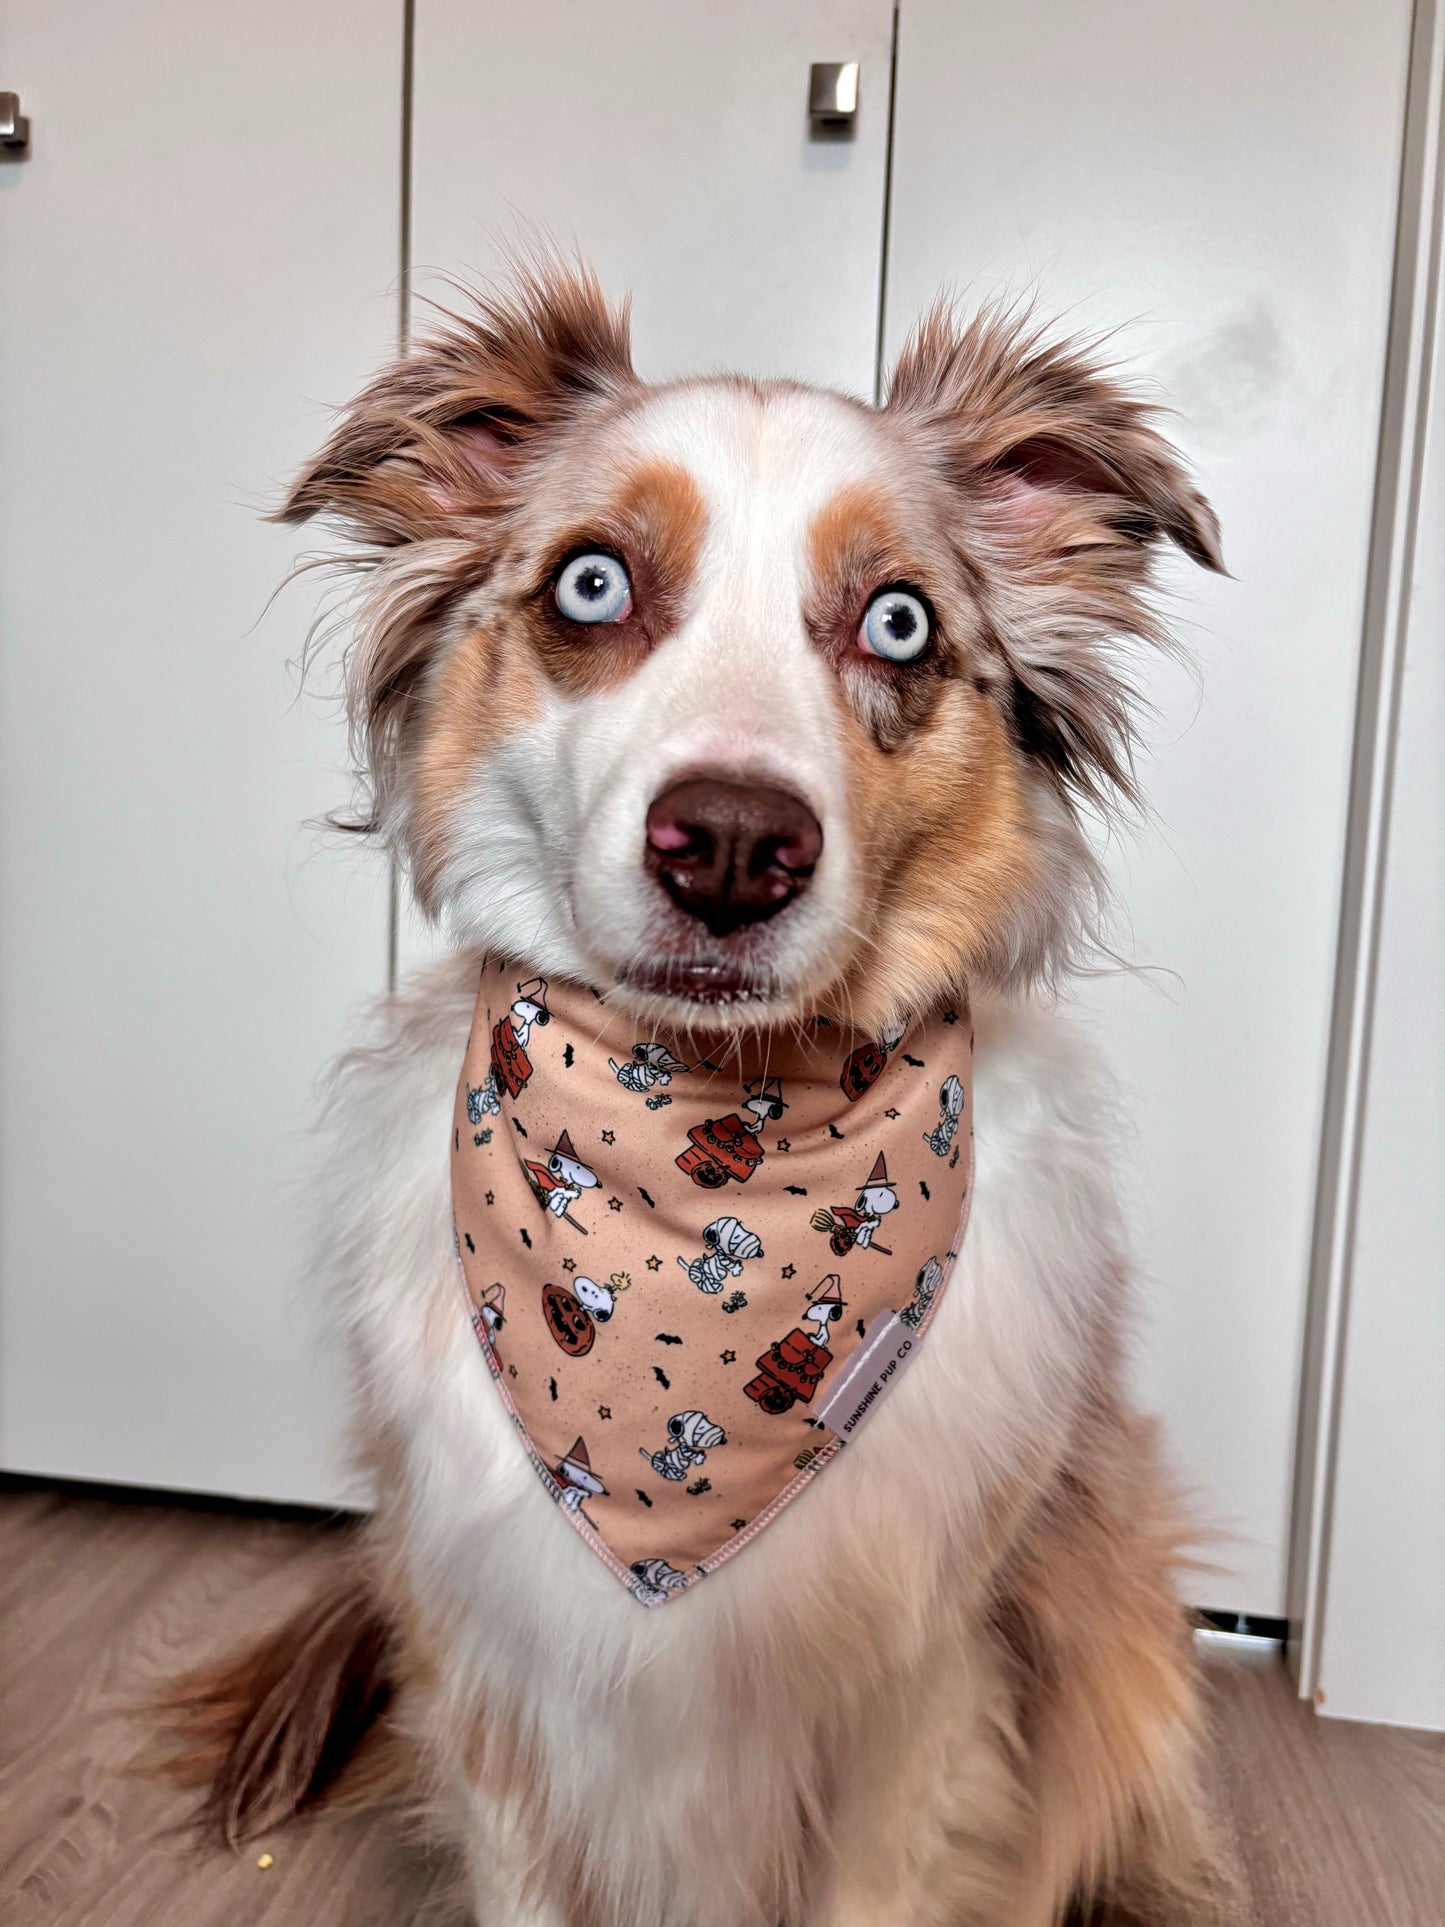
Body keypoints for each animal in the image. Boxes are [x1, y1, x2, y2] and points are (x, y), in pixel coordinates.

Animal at [169, 260, 1233, 1927]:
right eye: (593, 586)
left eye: (900, 620)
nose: (732, 844)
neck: (703, 1146)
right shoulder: (496, 1676)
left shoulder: (917, 1709)